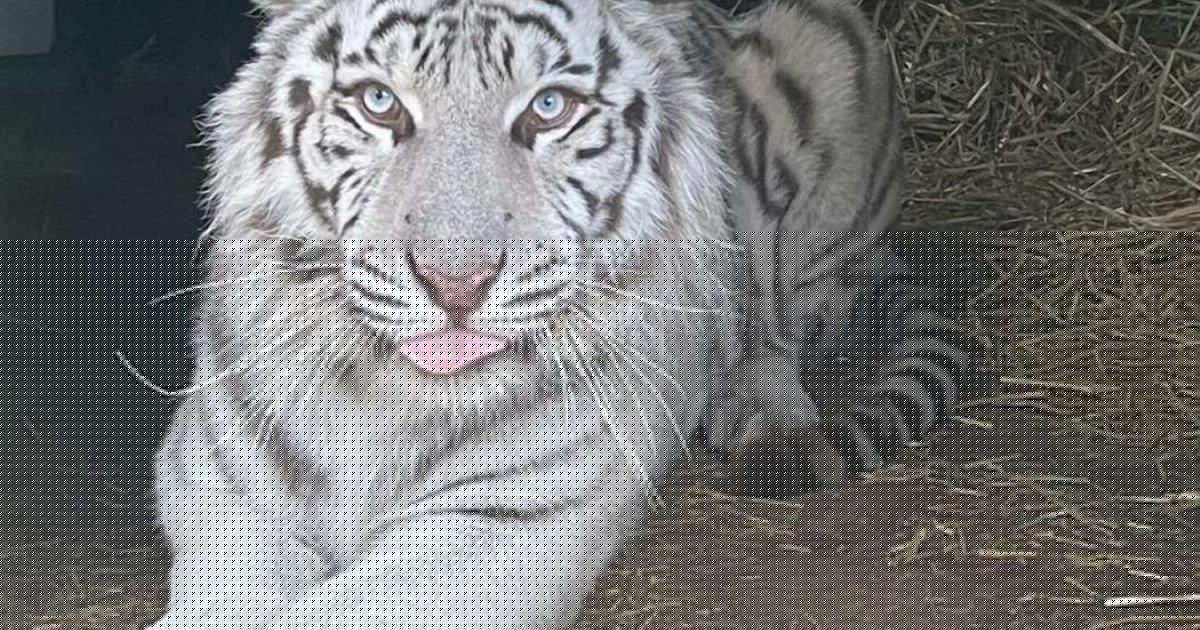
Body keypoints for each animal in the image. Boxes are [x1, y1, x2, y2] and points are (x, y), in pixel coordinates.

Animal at [147, 0, 970, 628]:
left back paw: (764, 411)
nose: (456, 282)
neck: (379, 393)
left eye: (551, 109)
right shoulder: (222, 490)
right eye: (379, 102)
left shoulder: (501, 523)